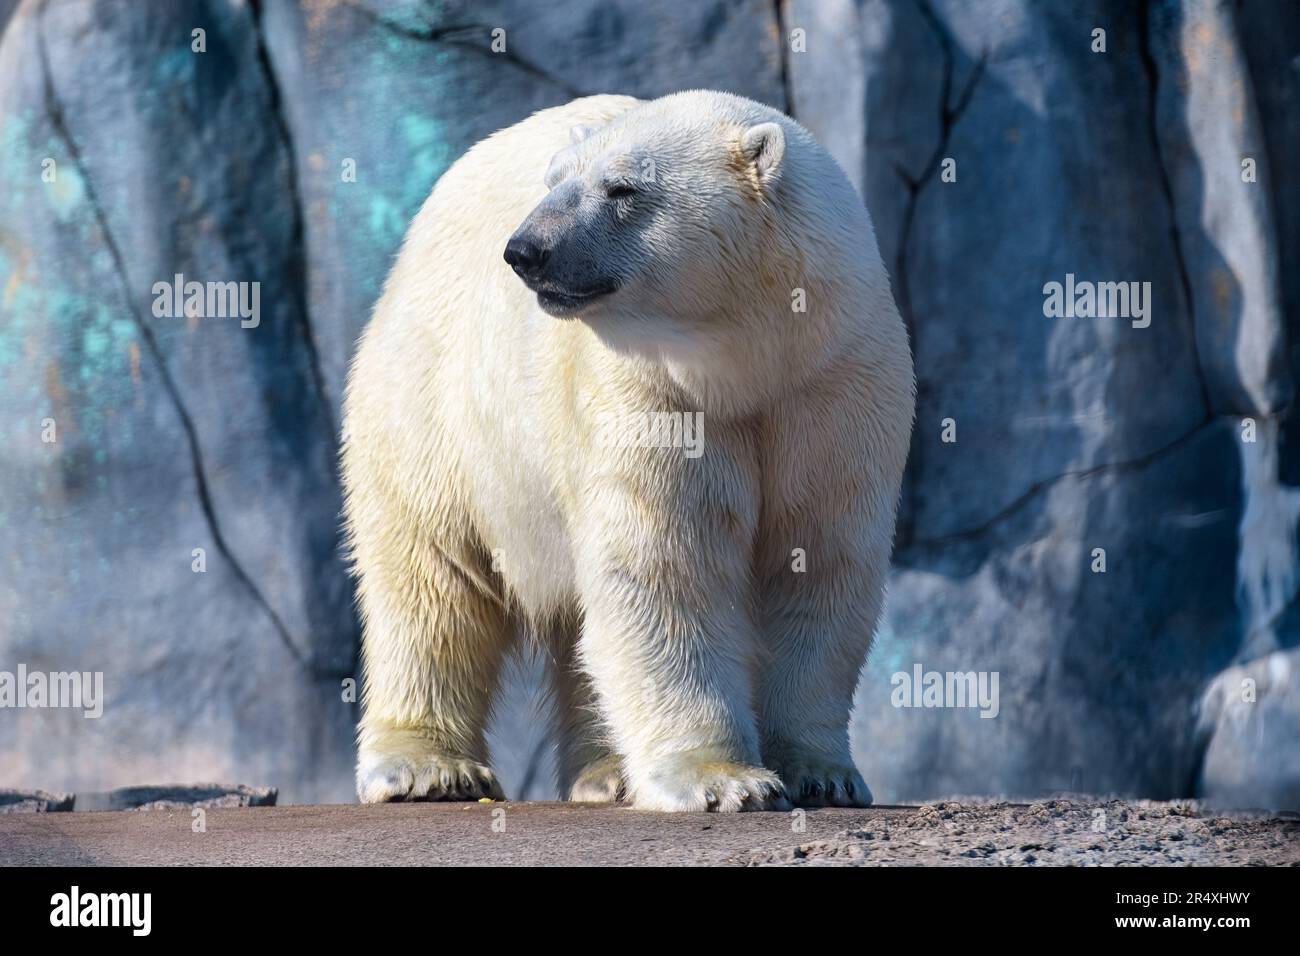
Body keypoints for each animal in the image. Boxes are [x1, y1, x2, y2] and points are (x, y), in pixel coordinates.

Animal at [345, 89, 915, 811]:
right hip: (435, 398)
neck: (752, 358)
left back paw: (606, 772)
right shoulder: (649, 390)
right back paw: (428, 768)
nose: (527, 250)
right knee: (431, 575)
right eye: (554, 182)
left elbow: (820, 564)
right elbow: (661, 568)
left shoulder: (835, 383)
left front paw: (822, 773)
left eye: (623, 188)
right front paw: (722, 780)